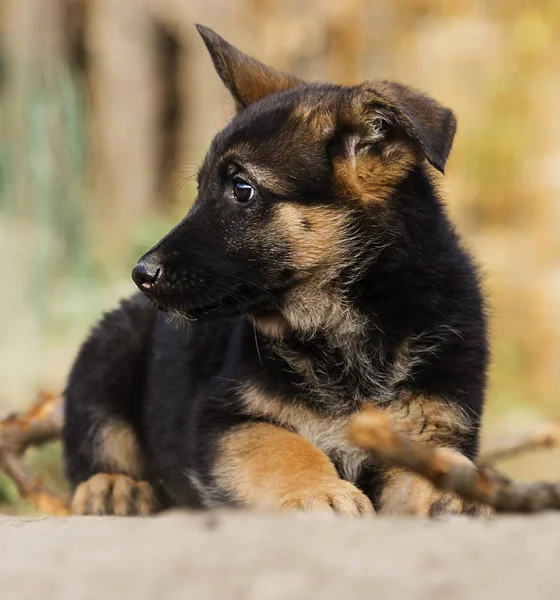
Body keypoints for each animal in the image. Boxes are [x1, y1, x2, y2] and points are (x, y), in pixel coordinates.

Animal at [62, 25, 490, 516]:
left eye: (242, 189)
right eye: (200, 189)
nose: (141, 273)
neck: (344, 328)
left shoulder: (428, 430)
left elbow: (440, 465)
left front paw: (461, 492)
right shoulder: (227, 420)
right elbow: (283, 445)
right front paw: (319, 490)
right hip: (108, 355)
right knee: (96, 441)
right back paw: (113, 485)